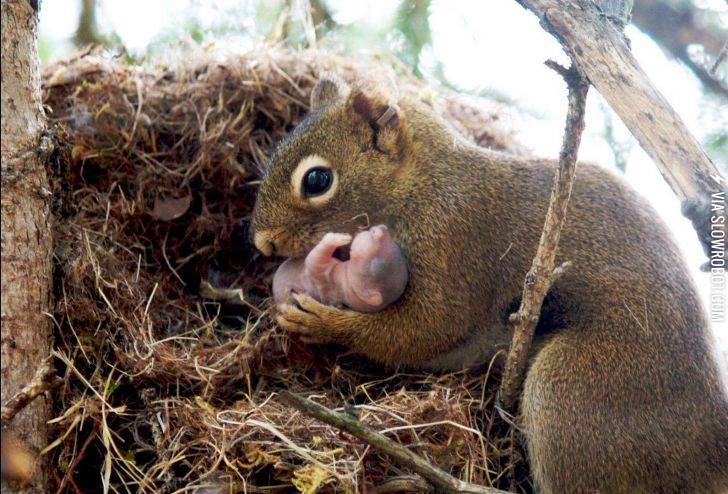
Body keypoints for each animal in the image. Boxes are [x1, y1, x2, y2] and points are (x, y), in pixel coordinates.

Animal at [272, 225, 408, 312]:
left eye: (376, 263)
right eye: (396, 246)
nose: (382, 229)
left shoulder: (320, 275)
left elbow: (314, 257)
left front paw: (337, 238)